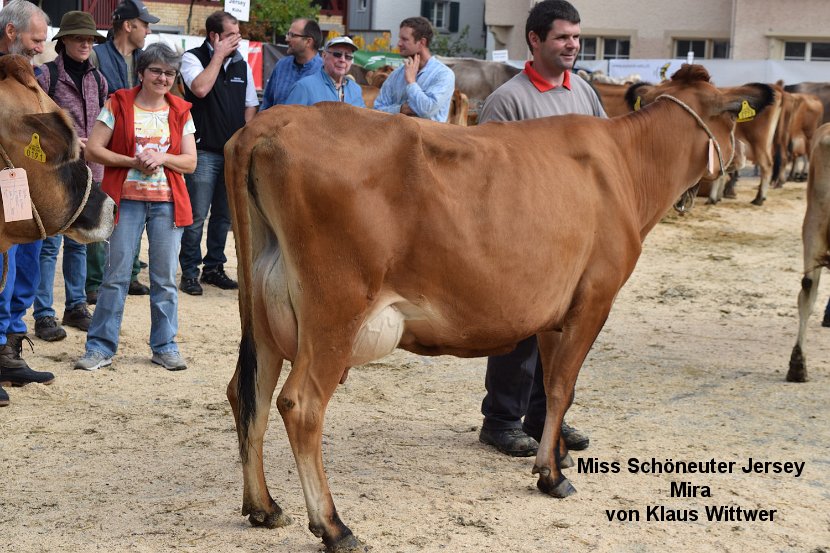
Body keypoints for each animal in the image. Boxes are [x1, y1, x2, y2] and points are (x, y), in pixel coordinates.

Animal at [226, 66, 772, 552]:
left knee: (248, 392)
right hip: (334, 309)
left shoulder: (555, 309)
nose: (734, 166)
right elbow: (564, 385)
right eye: (731, 120)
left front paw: (555, 457)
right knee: (301, 405)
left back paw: (264, 507)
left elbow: (553, 388)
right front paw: (551, 476)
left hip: (264, 312)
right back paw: (335, 527)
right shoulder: (595, 296)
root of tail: (270, 123)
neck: (625, 165)